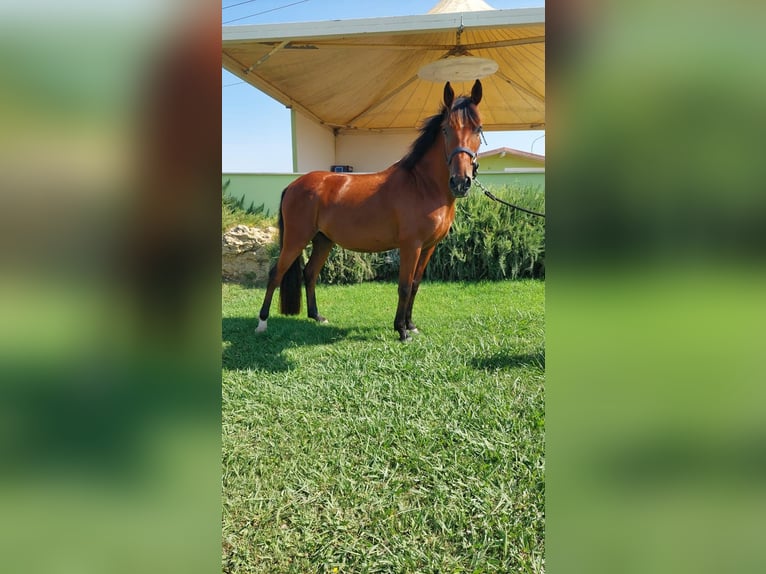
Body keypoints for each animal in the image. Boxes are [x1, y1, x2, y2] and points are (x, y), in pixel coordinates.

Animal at [256, 79, 484, 341]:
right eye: (446, 129)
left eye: (478, 129)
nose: (461, 182)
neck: (422, 185)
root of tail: (293, 185)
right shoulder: (411, 245)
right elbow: (404, 286)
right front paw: (402, 330)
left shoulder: (428, 246)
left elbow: (415, 284)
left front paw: (411, 325)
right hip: (296, 239)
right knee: (276, 273)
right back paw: (262, 322)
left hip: (323, 240)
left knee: (310, 273)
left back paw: (317, 317)